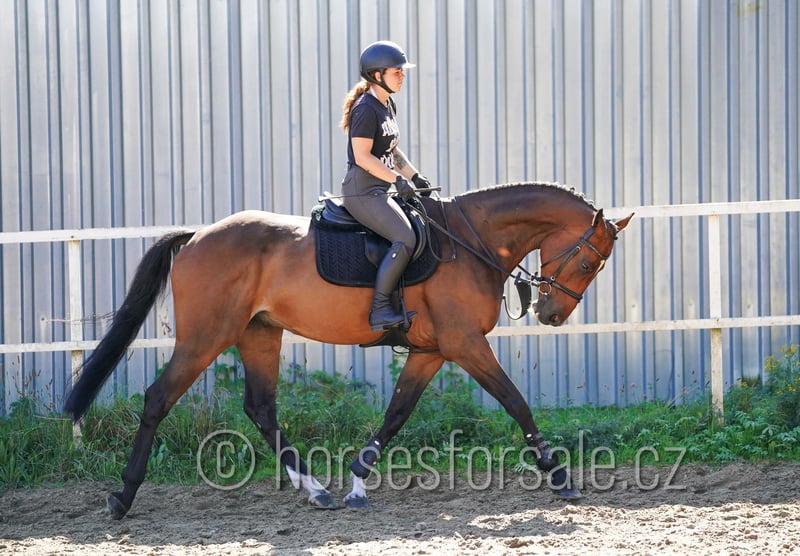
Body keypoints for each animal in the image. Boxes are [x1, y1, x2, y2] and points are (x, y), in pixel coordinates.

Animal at [64, 181, 633, 519]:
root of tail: (199, 235)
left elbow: (397, 413)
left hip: (258, 333)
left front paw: (358, 483)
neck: (469, 242)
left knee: (261, 408)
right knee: (159, 398)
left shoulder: (432, 351)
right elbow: (517, 402)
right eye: (589, 263)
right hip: (207, 337)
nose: (551, 315)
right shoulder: (465, 343)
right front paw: (560, 477)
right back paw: (123, 497)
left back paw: (316, 490)